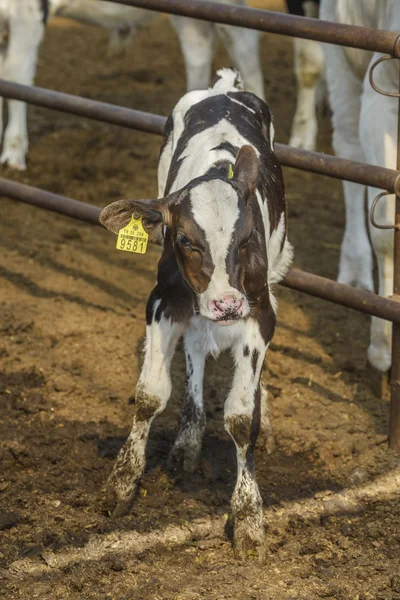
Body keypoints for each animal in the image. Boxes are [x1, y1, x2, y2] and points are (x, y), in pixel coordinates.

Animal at [99, 68, 294, 560]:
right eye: (186, 240)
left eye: (246, 239)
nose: (226, 304)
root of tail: (223, 86)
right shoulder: (162, 301)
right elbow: (150, 394)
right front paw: (121, 485)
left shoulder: (258, 312)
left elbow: (242, 417)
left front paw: (249, 519)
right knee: (195, 346)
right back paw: (188, 438)